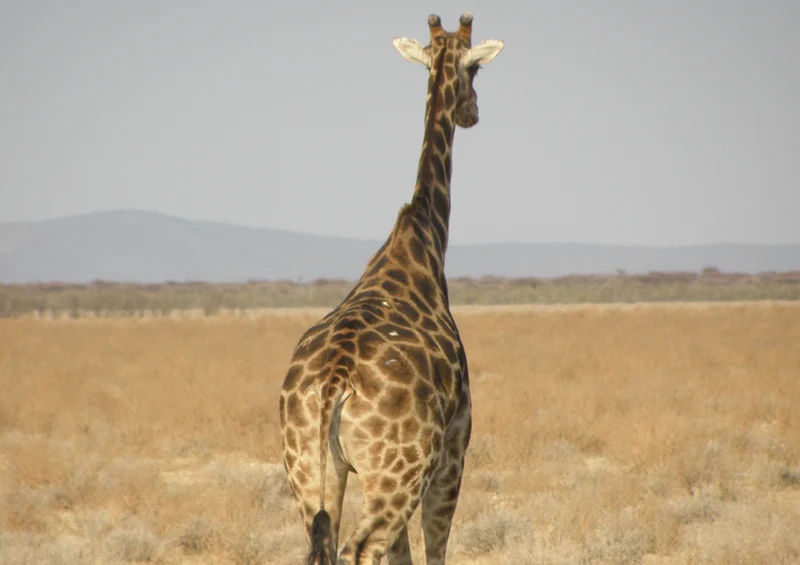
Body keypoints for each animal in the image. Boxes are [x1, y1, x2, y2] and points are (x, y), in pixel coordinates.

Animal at [279, 13, 503, 565]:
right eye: (476, 70)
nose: (473, 113)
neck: (422, 242)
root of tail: (333, 382)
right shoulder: (454, 447)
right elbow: (435, 547)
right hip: (399, 470)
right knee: (359, 547)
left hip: (309, 469)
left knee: (322, 543)